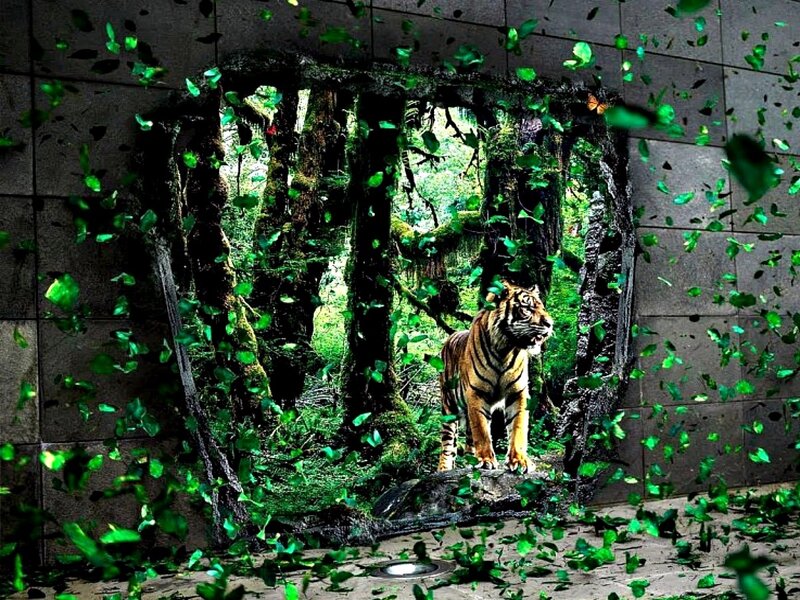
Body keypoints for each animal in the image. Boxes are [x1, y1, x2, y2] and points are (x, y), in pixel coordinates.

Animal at [438, 280, 554, 473]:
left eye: (542, 307)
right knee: (448, 444)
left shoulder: (518, 393)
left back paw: (470, 459)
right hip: (449, 407)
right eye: (527, 308)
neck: (505, 349)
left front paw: (519, 460)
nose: (550, 324)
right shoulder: (476, 393)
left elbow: (518, 427)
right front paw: (486, 460)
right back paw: (444, 469)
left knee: (469, 438)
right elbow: (482, 431)